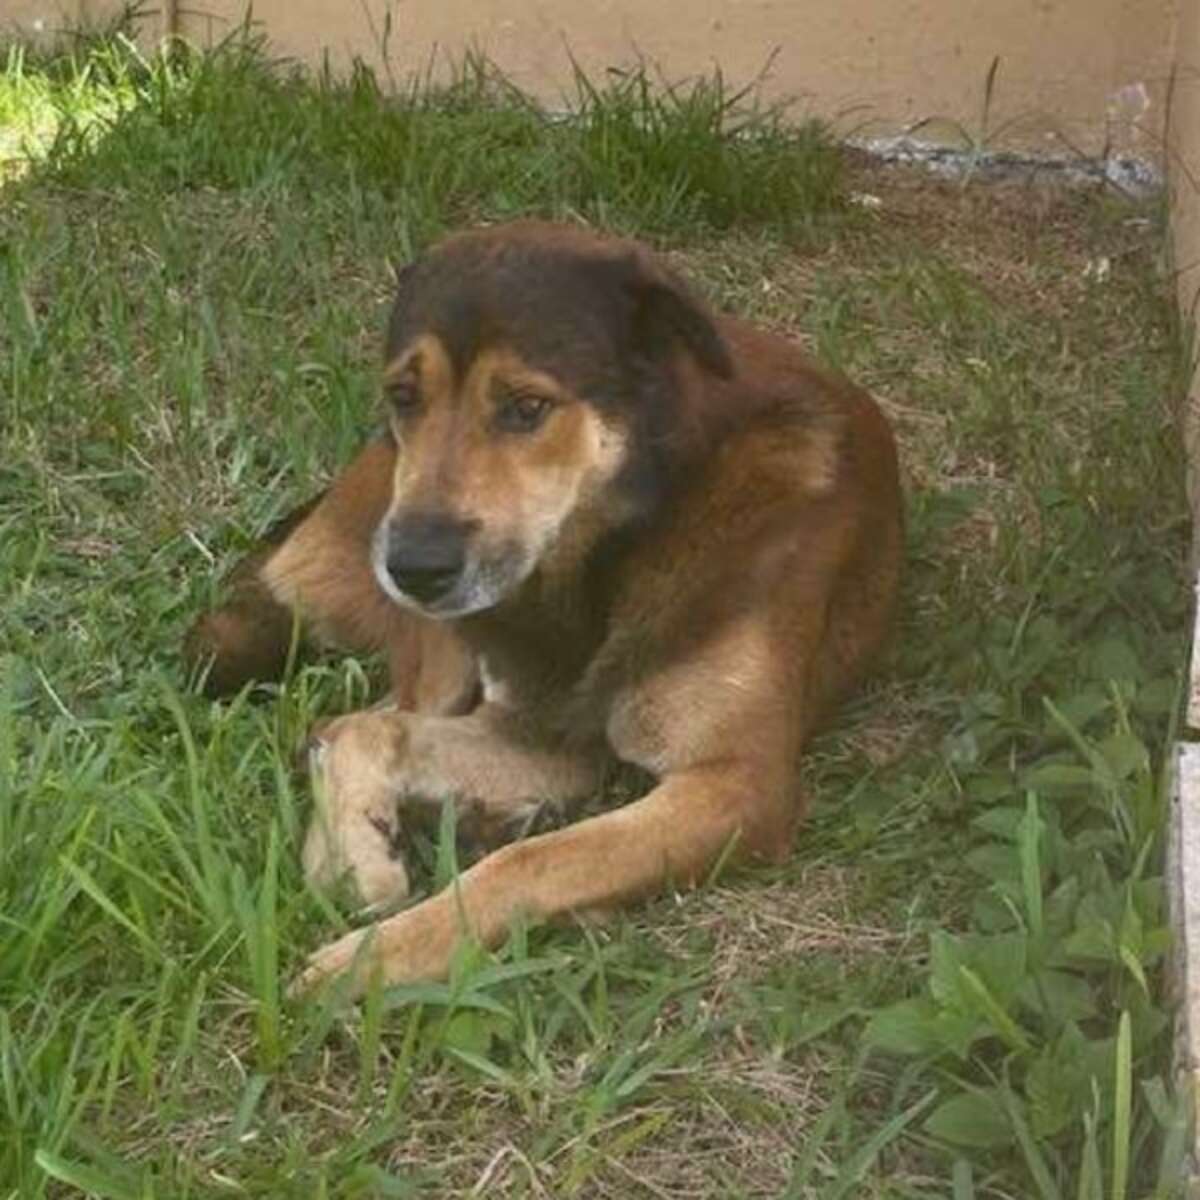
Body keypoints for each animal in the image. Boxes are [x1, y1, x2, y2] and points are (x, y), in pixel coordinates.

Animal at [187, 223, 902, 993]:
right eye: (403, 395)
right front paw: (361, 870)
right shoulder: (541, 732)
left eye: (526, 408)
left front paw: (372, 962)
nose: (411, 568)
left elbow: (536, 860)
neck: (613, 551)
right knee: (352, 719)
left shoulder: (737, 783)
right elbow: (370, 733)